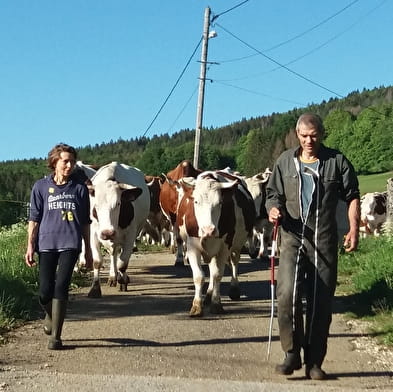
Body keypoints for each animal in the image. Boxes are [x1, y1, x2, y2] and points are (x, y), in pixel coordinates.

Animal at [87, 162, 150, 298]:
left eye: (118, 204)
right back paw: (112, 277)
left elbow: (123, 263)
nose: (107, 233)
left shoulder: (130, 236)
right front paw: (95, 288)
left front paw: (123, 280)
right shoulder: (94, 233)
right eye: (96, 206)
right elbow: (97, 261)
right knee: (113, 253)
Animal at [176, 171, 256, 316]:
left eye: (220, 203)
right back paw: (207, 295)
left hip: (235, 246)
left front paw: (216, 303)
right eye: (196, 201)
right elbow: (199, 276)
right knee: (212, 268)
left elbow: (218, 275)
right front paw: (197, 305)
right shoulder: (192, 247)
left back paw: (233, 289)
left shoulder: (225, 247)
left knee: (233, 262)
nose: (209, 230)